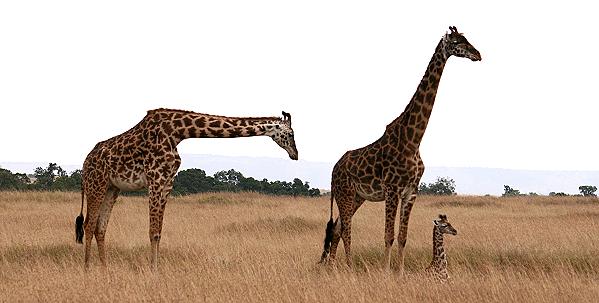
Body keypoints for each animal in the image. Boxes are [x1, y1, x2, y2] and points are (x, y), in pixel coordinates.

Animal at [74, 108, 298, 270]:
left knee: (100, 227)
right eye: (290, 133)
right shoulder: (155, 179)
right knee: (88, 225)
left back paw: (105, 268)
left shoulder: (167, 183)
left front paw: (156, 269)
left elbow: (159, 232)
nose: (295, 154)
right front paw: (153, 271)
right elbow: (152, 231)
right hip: (96, 184)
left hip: (112, 188)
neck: (178, 132)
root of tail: (85, 163)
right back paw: (88, 269)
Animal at [318, 26, 482, 274]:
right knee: (346, 230)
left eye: (466, 38)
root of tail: (333, 170)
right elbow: (388, 235)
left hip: (357, 197)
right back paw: (347, 267)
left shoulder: (410, 192)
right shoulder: (392, 189)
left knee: (337, 228)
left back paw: (332, 267)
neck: (413, 141)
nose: (478, 54)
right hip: (344, 193)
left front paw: (401, 272)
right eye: (456, 42)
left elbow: (403, 237)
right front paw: (386, 271)